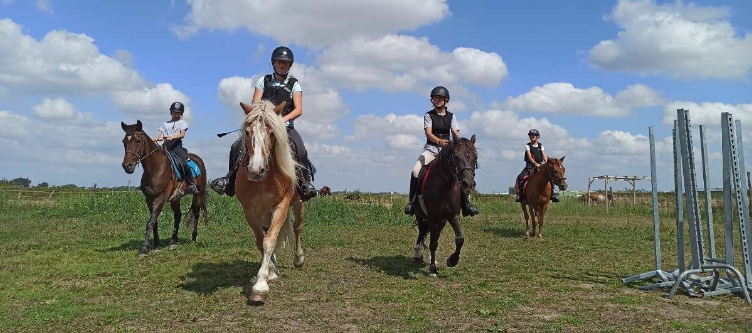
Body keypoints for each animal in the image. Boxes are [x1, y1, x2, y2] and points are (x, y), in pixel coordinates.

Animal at [119, 120, 209, 256]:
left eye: (138, 141)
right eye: (124, 141)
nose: (127, 166)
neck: (155, 168)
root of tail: (199, 160)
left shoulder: (161, 198)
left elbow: (150, 222)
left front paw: (144, 249)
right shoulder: (149, 199)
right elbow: (154, 222)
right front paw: (157, 246)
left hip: (198, 194)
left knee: (196, 214)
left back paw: (193, 239)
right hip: (175, 198)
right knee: (178, 215)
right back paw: (173, 242)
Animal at [235, 98, 306, 304]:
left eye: (272, 133)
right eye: (247, 131)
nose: (255, 171)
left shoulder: (281, 205)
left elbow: (270, 240)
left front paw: (260, 287)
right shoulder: (250, 211)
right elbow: (262, 241)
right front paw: (270, 274)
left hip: (298, 205)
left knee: (297, 228)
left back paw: (298, 259)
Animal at [408, 134, 478, 276]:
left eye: (475, 158)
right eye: (456, 156)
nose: (468, 184)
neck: (445, 187)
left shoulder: (452, 216)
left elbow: (459, 239)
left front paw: (452, 261)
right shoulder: (432, 217)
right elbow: (432, 243)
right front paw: (432, 270)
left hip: (442, 221)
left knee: (433, 234)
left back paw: (432, 260)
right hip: (420, 214)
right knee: (422, 231)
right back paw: (418, 253)